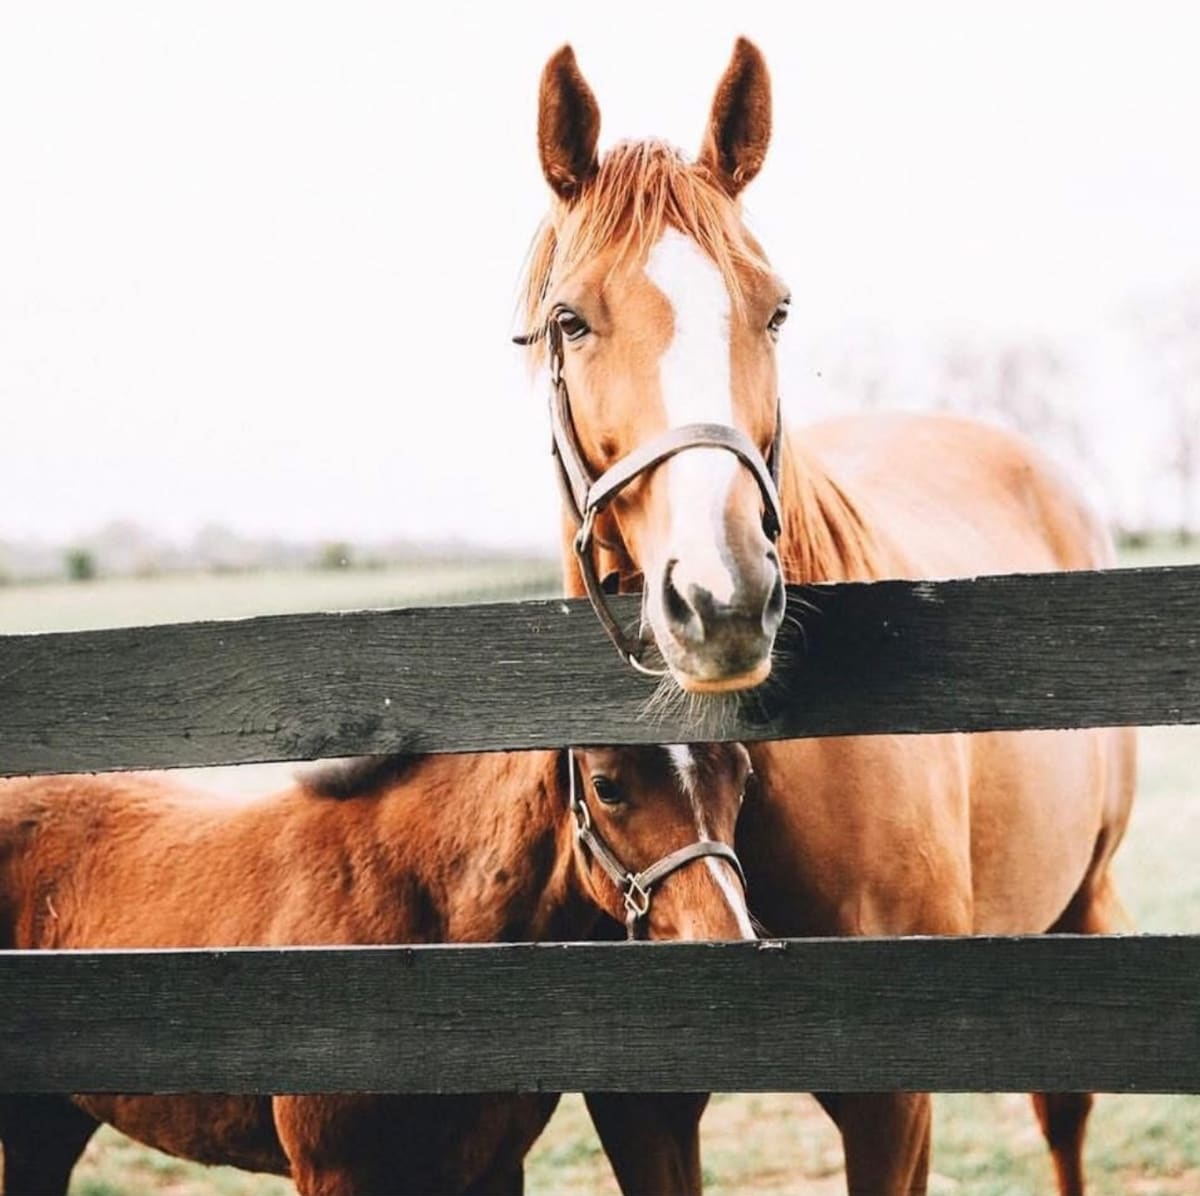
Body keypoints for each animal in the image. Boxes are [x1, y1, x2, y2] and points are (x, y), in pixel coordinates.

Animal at [0, 740, 754, 1195]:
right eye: (606, 785)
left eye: (740, 773)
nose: (727, 943)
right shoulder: (338, 1173)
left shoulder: (490, 1168)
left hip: (45, 1125)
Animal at [520, 38, 1136, 1196]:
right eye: (570, 320)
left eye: (775, 310)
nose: (721, 597)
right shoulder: (640, 1108)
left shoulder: (890, 1102)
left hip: (1082, 899)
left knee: (1064, 1110)